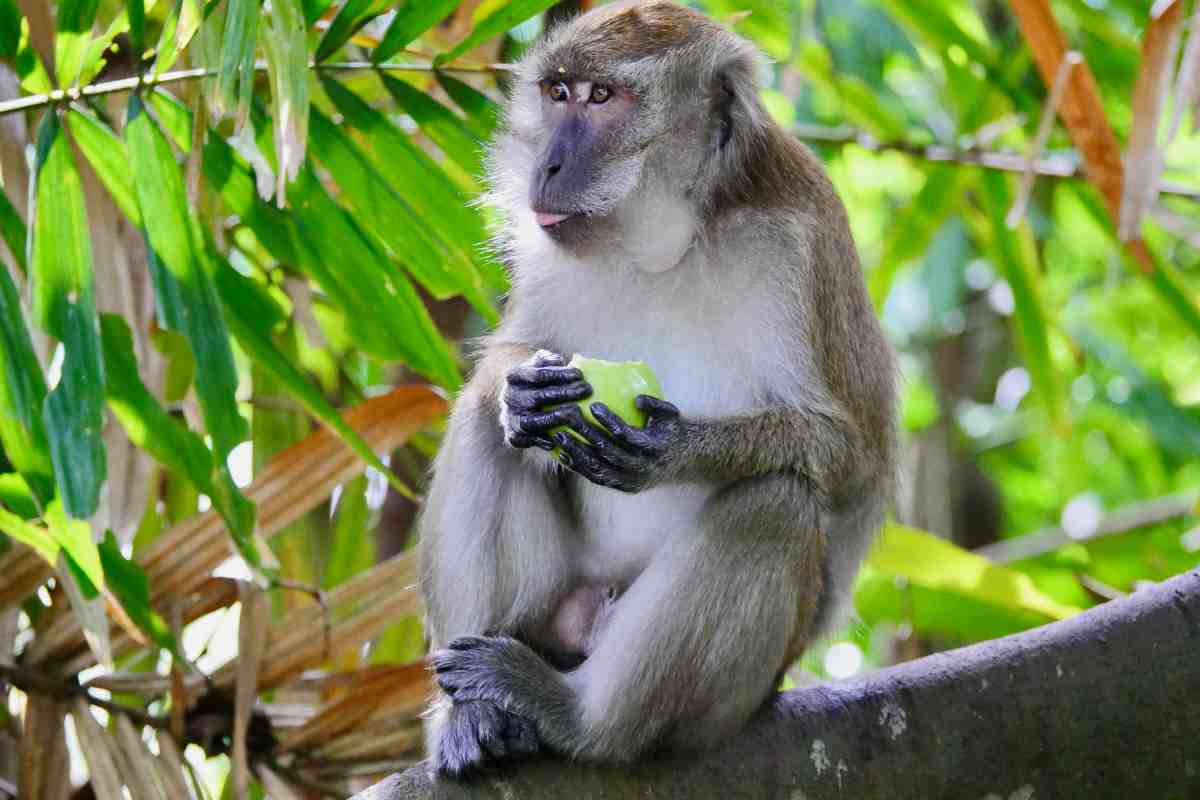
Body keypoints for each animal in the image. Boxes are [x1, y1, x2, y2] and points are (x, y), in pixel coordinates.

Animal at [418, 0, 897, 777]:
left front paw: (677, 447)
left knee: (776, 503)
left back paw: (579, 718)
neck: (667, 243)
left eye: (602, 98)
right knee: (482, 430)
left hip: (736, 692)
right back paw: (475, 714)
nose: (548, 165)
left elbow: (849, 457)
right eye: (558, 92)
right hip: (557, 602)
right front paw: (518, 393)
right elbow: (507, 366)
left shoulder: (797, 247)